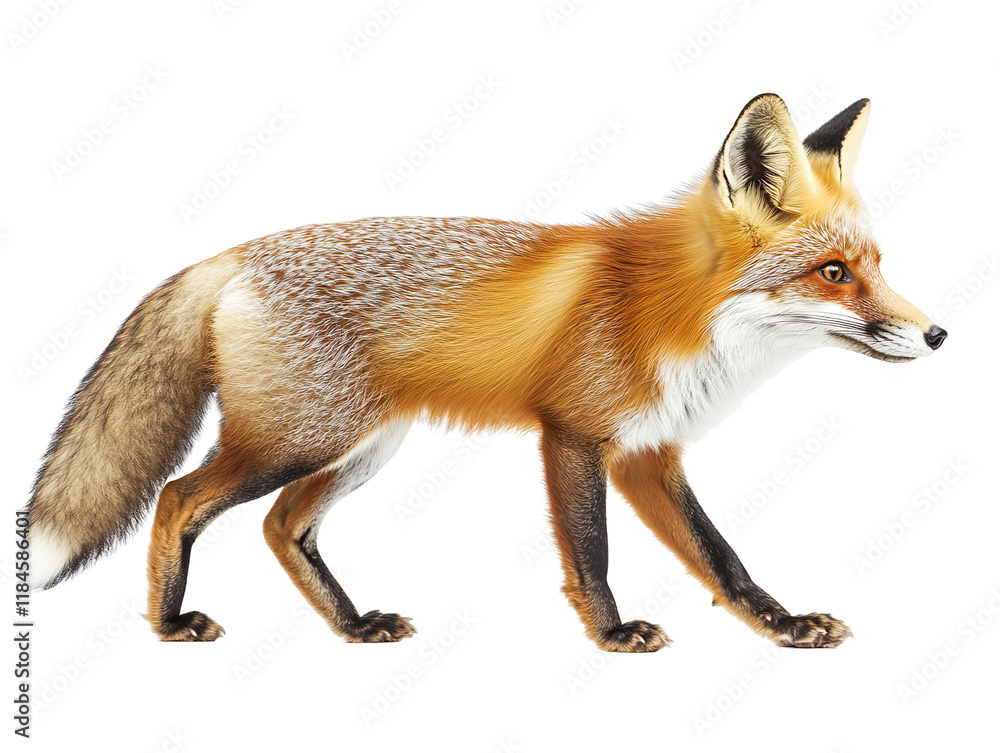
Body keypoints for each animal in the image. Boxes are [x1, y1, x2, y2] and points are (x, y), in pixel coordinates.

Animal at [27, 93, 947, 651]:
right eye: (834, 272)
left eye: (875, 264)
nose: (938, 334)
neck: (673, 315)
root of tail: (228, 256)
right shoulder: (574, 433)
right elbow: (592, 553)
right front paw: (612, 638)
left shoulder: (651, 452)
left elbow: (721, 557)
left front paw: (782, 624)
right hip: (297, 439)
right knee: (178, 498)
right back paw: (166, 621)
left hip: (362, 446)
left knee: (283, 526)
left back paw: (352, 626)